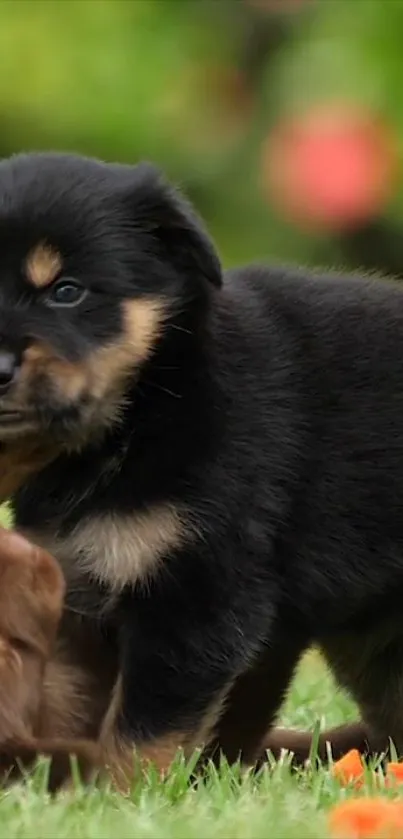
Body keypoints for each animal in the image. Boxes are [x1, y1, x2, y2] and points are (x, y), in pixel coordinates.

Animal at [0, 154, 400, 792]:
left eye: (66, 292)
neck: (144, 410)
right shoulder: (78, 598)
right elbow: (73, 708)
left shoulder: (197, 593)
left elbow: (142, 733)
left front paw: (120, 799)